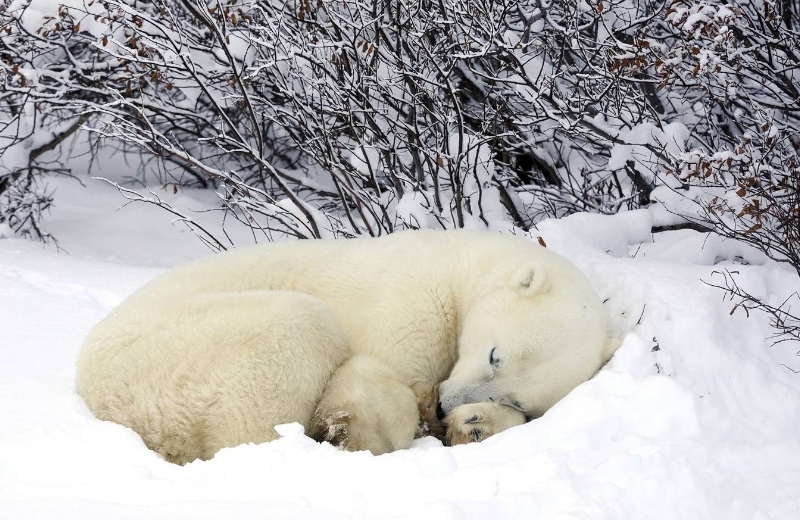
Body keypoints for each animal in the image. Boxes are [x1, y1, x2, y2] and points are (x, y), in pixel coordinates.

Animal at [76, 232, 620, 464]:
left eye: (516, 397)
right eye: (494, 355)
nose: (447, 406)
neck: (462, 265)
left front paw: (476, 425)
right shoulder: (412, 299)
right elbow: (374, 374)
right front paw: (363, 430)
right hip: (174, 352)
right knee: (296, 332)